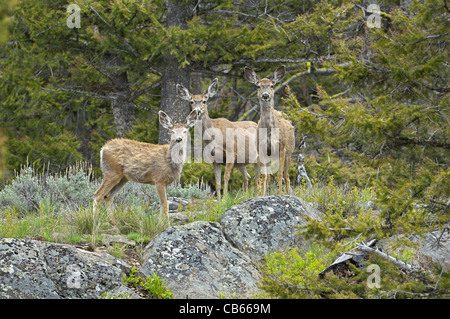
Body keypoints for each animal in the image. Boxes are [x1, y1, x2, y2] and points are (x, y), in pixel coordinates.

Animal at [244, 65, 298, 198]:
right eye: (258, 86)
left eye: (272, 85)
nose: (265, 95)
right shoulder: (262, 149)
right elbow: (264, 175)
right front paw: (263, 195)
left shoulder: (282, 147)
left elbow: (280, 174)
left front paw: (280, 194)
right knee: (268, 176)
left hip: (289, 153)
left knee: (286, 175)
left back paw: (287, 192)